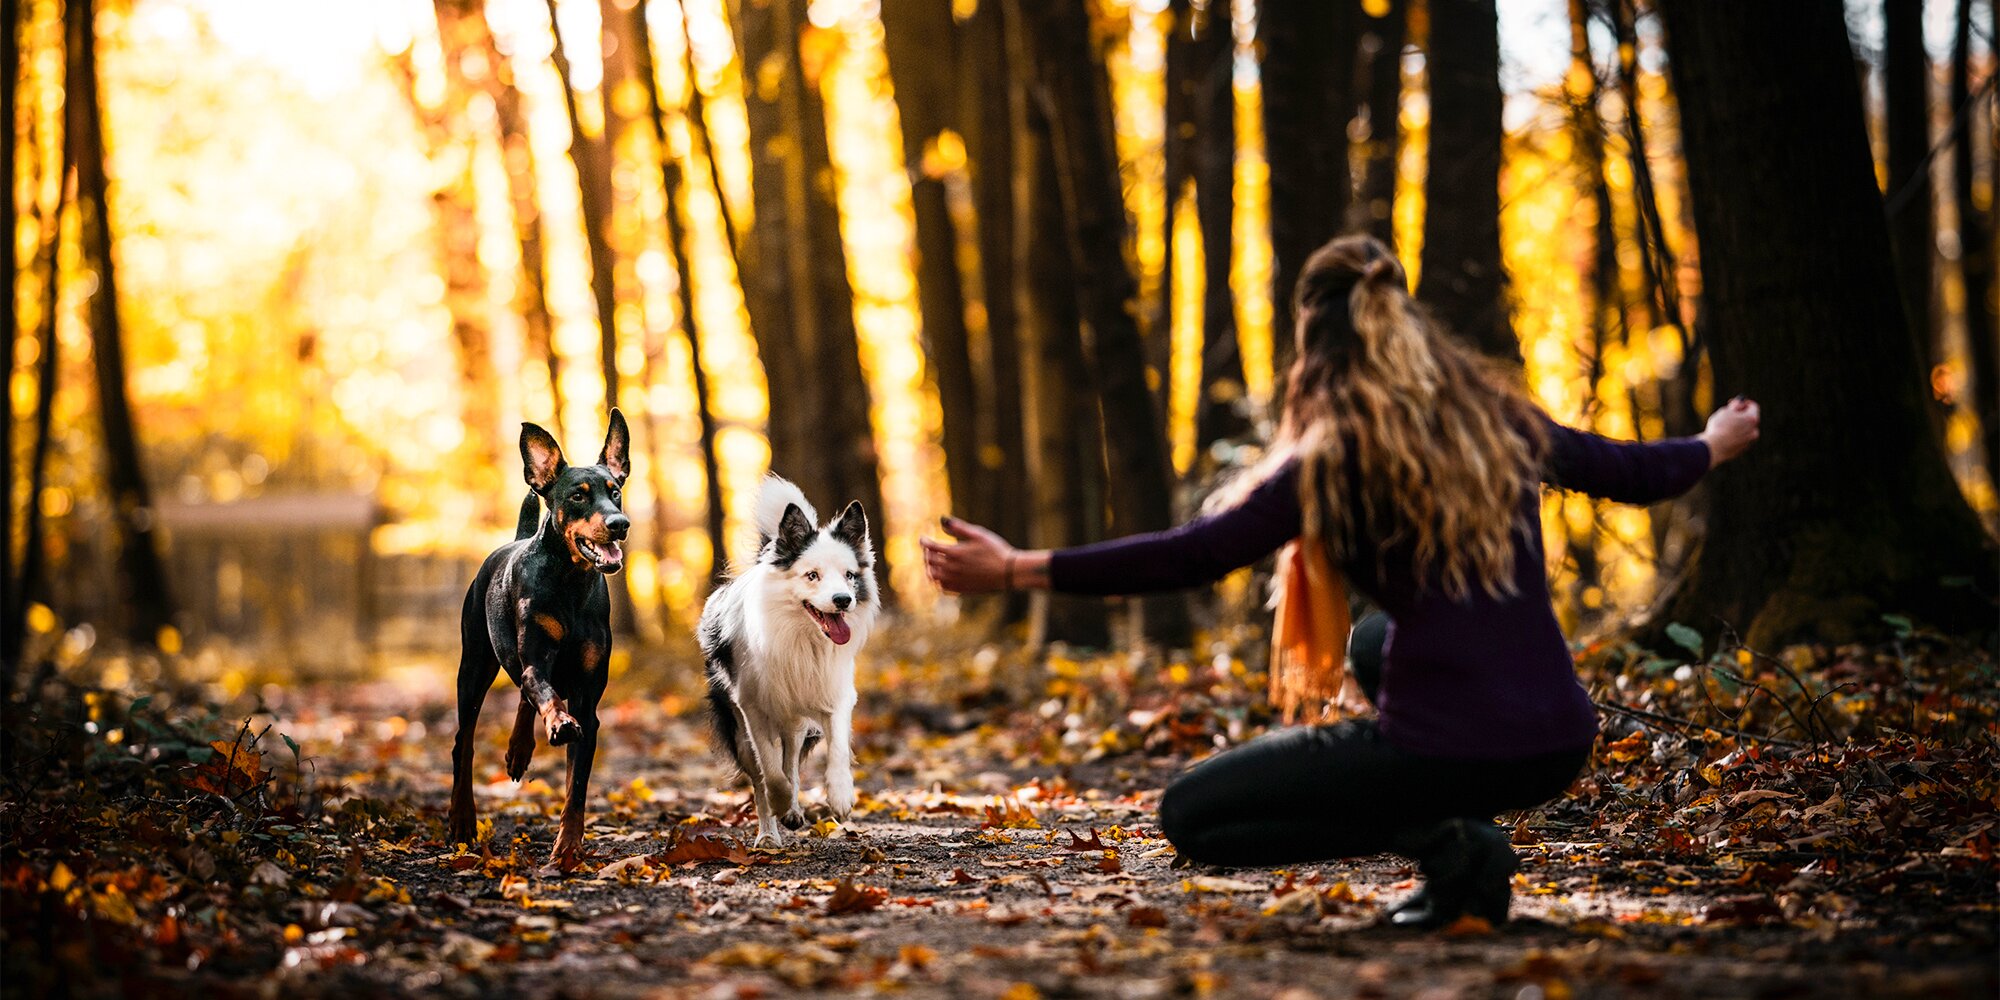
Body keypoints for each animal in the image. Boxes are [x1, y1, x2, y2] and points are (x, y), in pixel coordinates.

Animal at [450, 410, 628, 864]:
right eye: (579, 496)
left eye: (615, 492)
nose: (620, 524)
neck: (569, 584)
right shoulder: (534, 658)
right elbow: (542, 689)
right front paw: (558, 722)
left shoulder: (588, 698)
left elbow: (576, 786)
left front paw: (568, 846)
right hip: (474, 665)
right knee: (464, 743)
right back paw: (462, 819)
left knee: (522, 696)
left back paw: (519, 748)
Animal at [696, 474, 876, 844]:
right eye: (812, 575)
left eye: (850, 575)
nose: (844, 600)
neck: (802, 638)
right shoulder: (751, 707)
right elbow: (768, 768)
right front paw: (779, 803)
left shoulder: (834, 695)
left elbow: (835, 749)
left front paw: (841, 796)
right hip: (739, 724)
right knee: (760, 773)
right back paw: (769, 833)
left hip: (794, 720)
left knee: (791, 759)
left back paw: (793, 810)